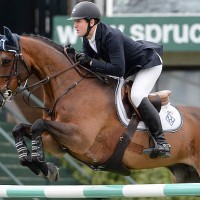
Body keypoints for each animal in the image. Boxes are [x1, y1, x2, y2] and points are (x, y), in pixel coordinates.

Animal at [0, 26, 200, 183]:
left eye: (6, 60)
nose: (1, 95)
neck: (71, 87)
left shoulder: (80, 138)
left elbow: (37, 124)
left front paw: (43, 165)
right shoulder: (56, 140)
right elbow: (19, 128)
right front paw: (39, 165)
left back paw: (161, 146)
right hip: (187, 174)